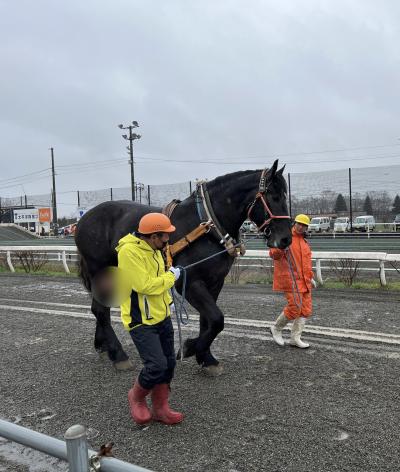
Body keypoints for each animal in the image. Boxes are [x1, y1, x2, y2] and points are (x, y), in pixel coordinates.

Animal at [75, 161, 292, 376]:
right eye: (274, 196)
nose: (286, 239)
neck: (207, 226)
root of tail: (84, 219)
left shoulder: (215, 282)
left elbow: (207, 321)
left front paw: (206, 358)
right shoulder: (189, 282)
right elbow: (217, 319)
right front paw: (190, 348)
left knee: (99, 307)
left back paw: (103, 345)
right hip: (98, 270)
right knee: (101, 310)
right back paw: (118, 354)